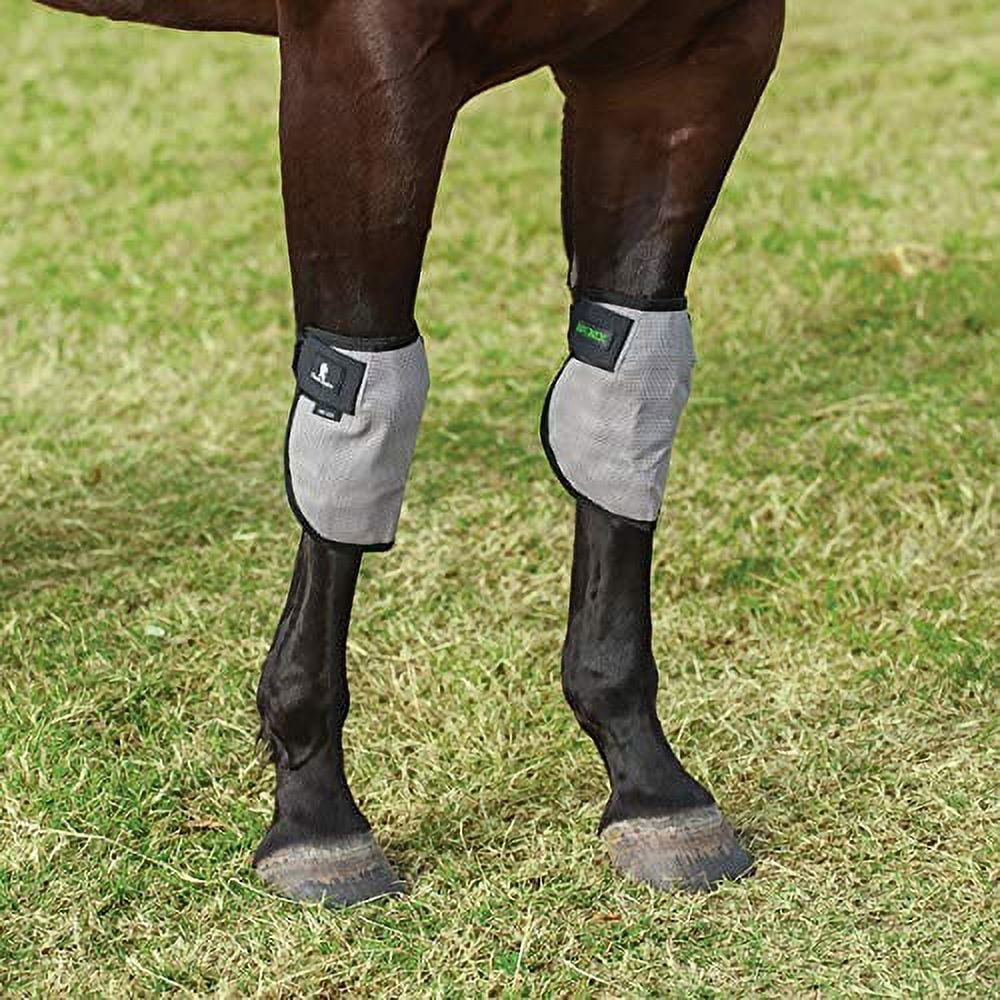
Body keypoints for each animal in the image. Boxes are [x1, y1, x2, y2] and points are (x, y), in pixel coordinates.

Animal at [30, 0, 785, 907]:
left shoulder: (686, 61)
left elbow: (624, 396)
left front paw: (650, 785)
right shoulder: (358, 65)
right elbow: (362, 396)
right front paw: (315, 815)